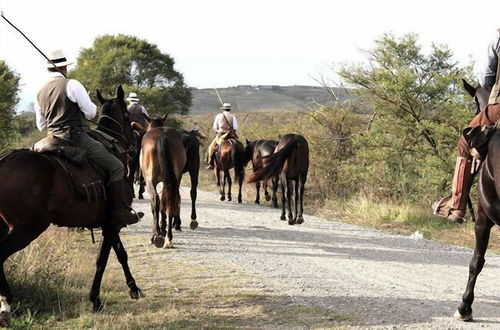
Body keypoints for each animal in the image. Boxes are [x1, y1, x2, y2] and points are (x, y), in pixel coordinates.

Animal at [0, 85, 144, 328]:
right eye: (127, 116)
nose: (135, 144)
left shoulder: (110, 222)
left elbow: (121, 253)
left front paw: (133, 288)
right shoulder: (112, 223)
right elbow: (102, 260)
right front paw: (95, 300)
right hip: (27, 228)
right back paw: (6, 304)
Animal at [139, 114, 186, 246]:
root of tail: (162, 136)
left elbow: (155, 206)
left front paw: (159, 231)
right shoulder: (168, 182)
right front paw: (163, 229)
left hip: (150, 182)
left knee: (156, 199)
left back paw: (155, 235)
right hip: (173, 180)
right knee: (172, 200)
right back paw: (169, 238)